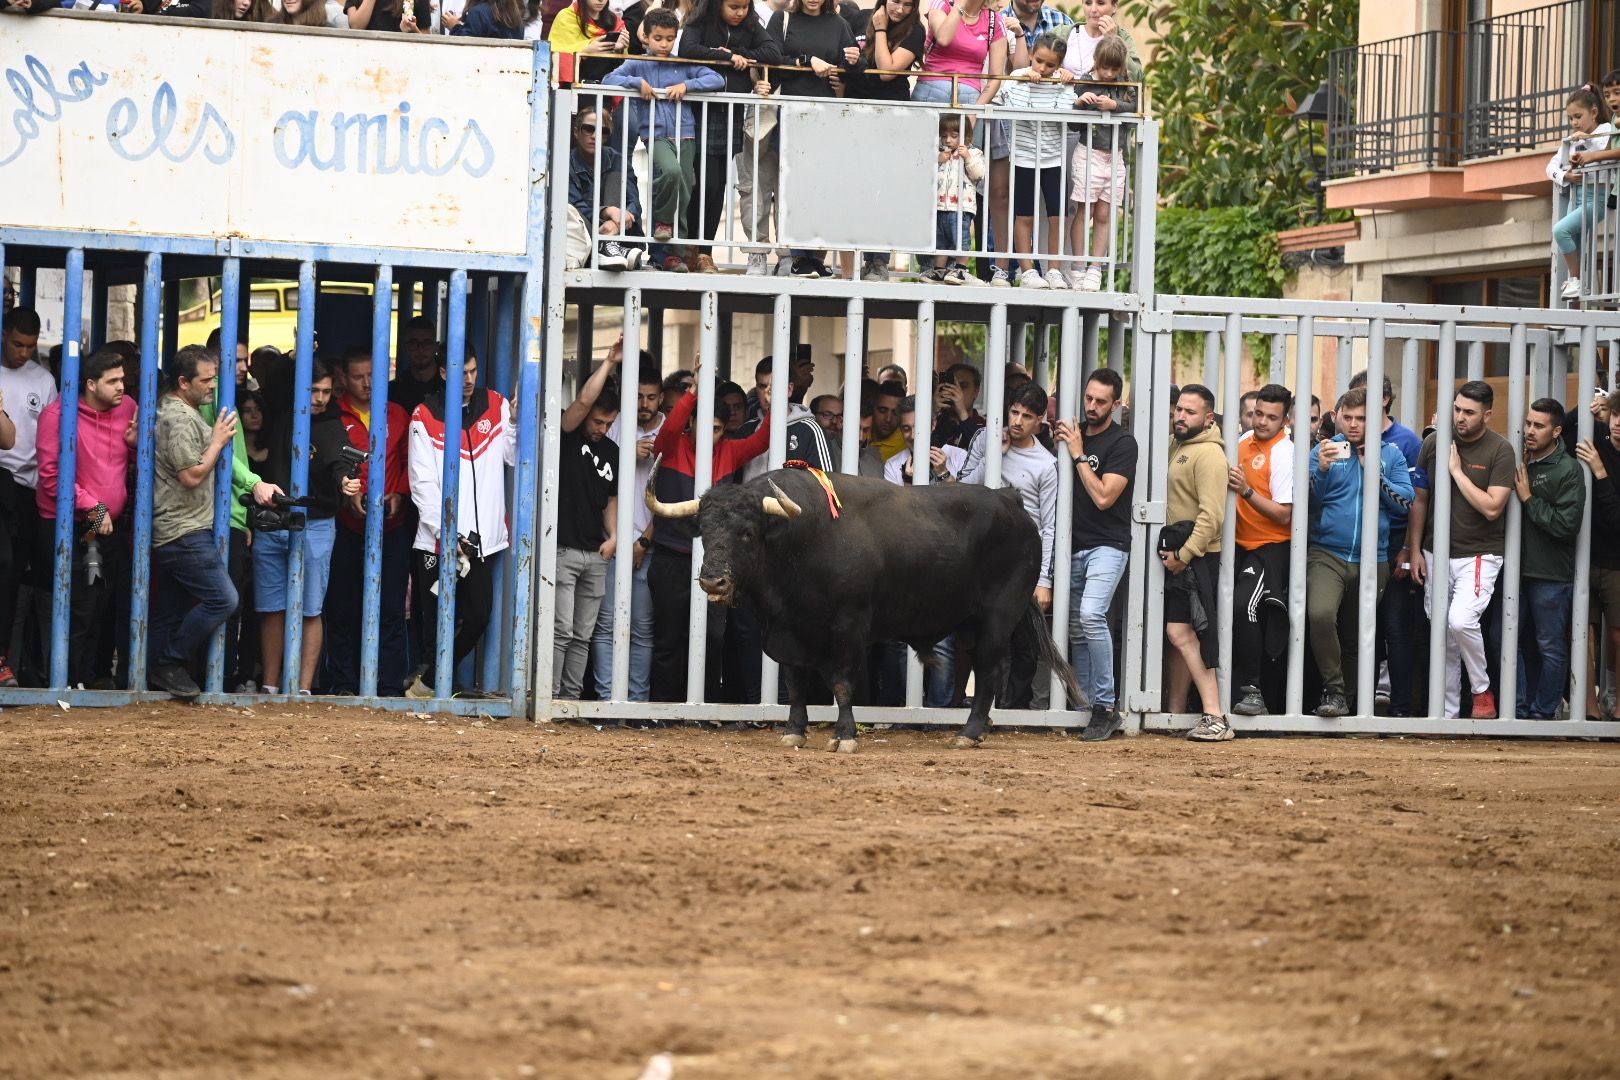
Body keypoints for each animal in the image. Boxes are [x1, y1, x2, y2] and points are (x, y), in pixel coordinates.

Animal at [641, 466, 1075, 751]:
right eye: (705, 531)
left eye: (747, 533)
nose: (713, 582)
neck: (801, 540)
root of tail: (1010, 501)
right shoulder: (789, 636)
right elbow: (795, 684)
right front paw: (794, 731)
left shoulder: (848, 628)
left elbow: (843, 683)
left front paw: (844, 735)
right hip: (970, 623)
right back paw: (979, 729)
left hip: (998, 617)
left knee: (988, 672)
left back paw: (967, 734)